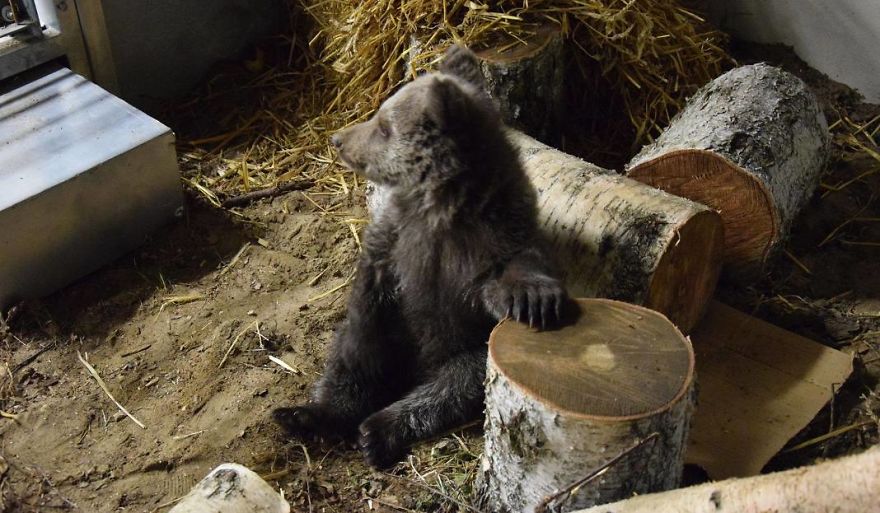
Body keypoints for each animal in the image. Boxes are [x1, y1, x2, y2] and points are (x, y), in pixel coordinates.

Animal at [273, 45, 568, 468]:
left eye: (383, 126)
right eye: (380, 115)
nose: (338, 138)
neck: (440, 208)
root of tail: (414, 368)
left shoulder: (493, 239)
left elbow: (515, 270)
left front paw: (536, 300)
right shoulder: (393, 240)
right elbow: (359, 333)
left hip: (467, 352)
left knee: (448, 389)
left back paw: (378, 431)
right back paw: (305, 415)